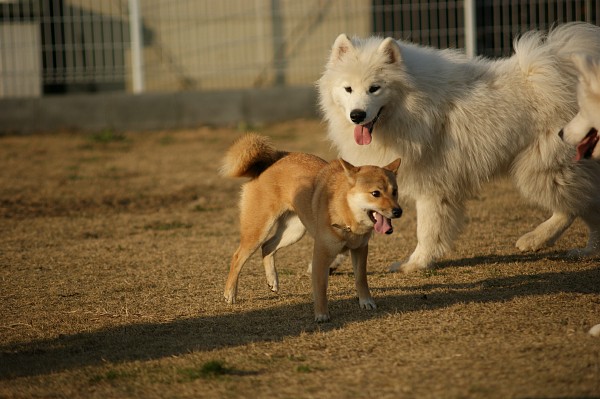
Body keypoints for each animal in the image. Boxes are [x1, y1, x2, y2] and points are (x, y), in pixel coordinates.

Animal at [221, 134, 404, 322]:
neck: (345, 211)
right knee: (238, 257)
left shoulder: (360, 249)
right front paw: (322, 314)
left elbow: (361, 278)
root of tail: (271, 161)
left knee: (267, 247)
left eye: (395, 191)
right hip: (258, 230)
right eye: (375, 193)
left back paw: (272, 280)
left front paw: (366, 301)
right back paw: (230, 294)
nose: (398, 211)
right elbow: (321, 287)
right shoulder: (321, 255)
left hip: (294, 231)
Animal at [322, 21, 600, 272]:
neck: (412, 104)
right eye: (348, 89)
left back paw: (536, 240)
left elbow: (427, 230)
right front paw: (333, 261)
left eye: (374, 88)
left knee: (574, 207)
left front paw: (414, 264)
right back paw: (584, 250)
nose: (357, 115)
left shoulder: (433, 186)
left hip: (541, 170)